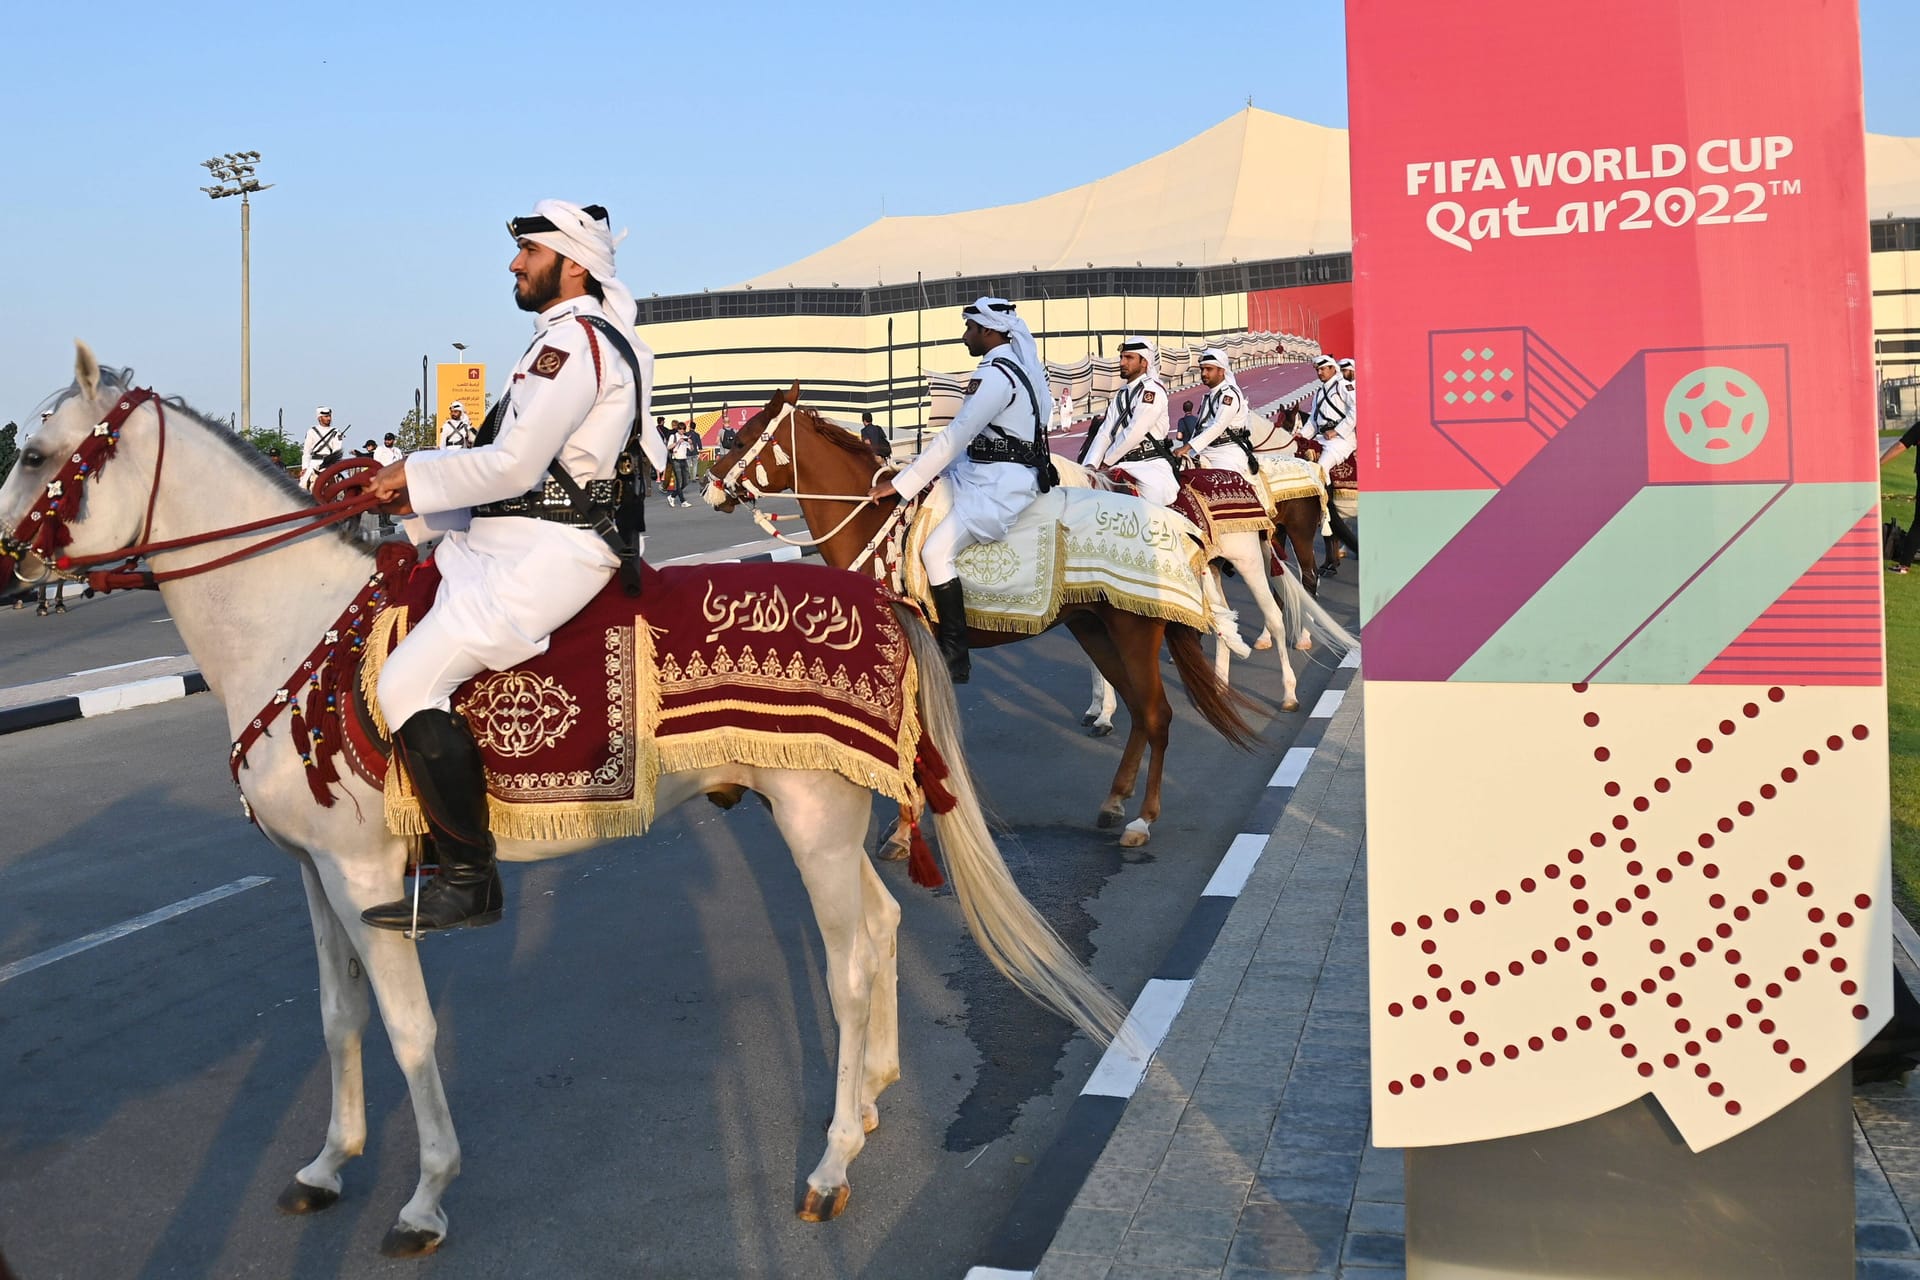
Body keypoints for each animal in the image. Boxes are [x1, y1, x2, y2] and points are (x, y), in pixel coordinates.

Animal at [0, 347, 1121, 1258]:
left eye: (37, 451)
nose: (7, 562)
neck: (296, 626)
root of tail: (881, 599)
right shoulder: (314, 876)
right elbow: (336, 1017)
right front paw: (329, 1162)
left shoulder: (367, 879)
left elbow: (408, 1028)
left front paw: (426, 1195)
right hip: (824, 821)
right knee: (882, 929)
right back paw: (878, 1093)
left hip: (814, 819)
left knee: (847, 966)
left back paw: (833, 1162)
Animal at [706, 387, 1259, 852]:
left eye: (747, 436)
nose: (711, 488)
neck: (873, 524)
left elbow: (914, 746)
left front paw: (904, 830)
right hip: (1094, 630)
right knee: (1137, 710)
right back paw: (1114, 800)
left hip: (1133, 631)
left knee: (1157, 714)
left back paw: (1143, 819)